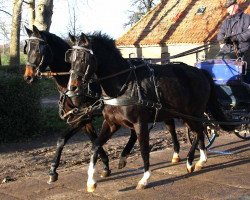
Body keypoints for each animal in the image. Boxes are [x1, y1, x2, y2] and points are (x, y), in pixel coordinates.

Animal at [22, 25, 139, 184]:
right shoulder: (83, 118)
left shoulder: (83, 117)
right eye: (27, 49)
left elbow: (61, 140)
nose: (28, 77)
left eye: (39, 49)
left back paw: (124, 156)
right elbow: (94, 140)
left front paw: (53, 170)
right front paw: (105, 166)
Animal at [65, 32, 231, 192]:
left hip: (193, 113)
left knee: (200, 131)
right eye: (71, 59)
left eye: (83, 58)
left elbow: (144, 148)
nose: (72, 88)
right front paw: (91, 182)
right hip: (186, 115)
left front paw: (144, 179)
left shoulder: (140, 123)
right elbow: (95, 146)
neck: (124, 85)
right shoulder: (112, 123)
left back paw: (194, 161)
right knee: (199, 132)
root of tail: (200, 72)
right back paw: (198, 160)